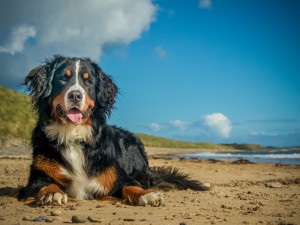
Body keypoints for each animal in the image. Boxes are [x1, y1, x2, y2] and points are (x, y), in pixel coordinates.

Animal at [17, 55, 207, 207]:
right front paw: (53, 193)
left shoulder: (117, 178)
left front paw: (147, 195)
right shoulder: (37, 177)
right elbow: (45, 184)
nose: (75, 95)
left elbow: (130, 185)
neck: (74, 134)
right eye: (63, 78)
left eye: (88, 81)